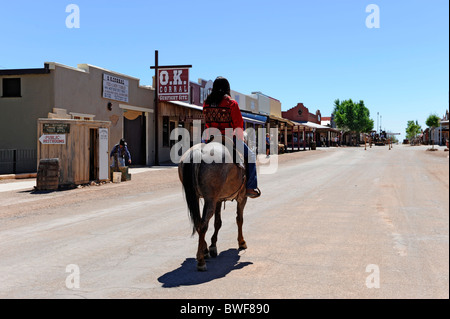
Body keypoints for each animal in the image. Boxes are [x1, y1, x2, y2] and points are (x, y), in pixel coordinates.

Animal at [178, 141, 248, 272]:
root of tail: (200, 151)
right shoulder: (242, 197)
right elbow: (239, 219)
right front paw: (241, 242)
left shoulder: (219, 199)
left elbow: (217, 222)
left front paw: (212, 246)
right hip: (210, 199)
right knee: (203, 225)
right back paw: (201, 261)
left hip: (198, 197)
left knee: (199, 222)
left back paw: (204, 251)